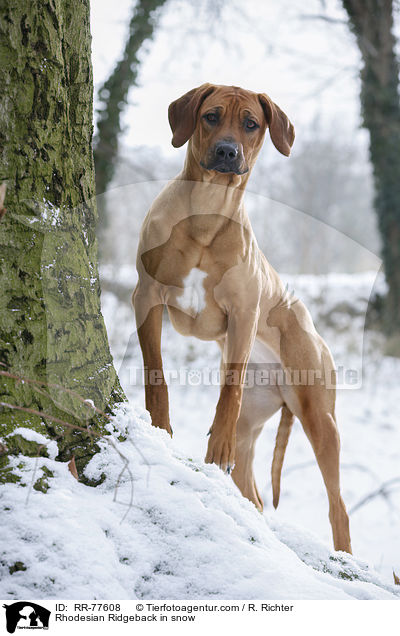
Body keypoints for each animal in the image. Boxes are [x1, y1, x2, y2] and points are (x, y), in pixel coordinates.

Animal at [133, 83, 352, 552]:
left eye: (251, 124)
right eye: (211, 116)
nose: (227, 151)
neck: (207, 210)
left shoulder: (244, 314)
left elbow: (229, 388)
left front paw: (217, 445)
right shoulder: (146, 296)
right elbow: (155, 374)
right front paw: (160, 425)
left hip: (320, 417)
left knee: (338, 508)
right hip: (257, 423)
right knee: (253, 493)